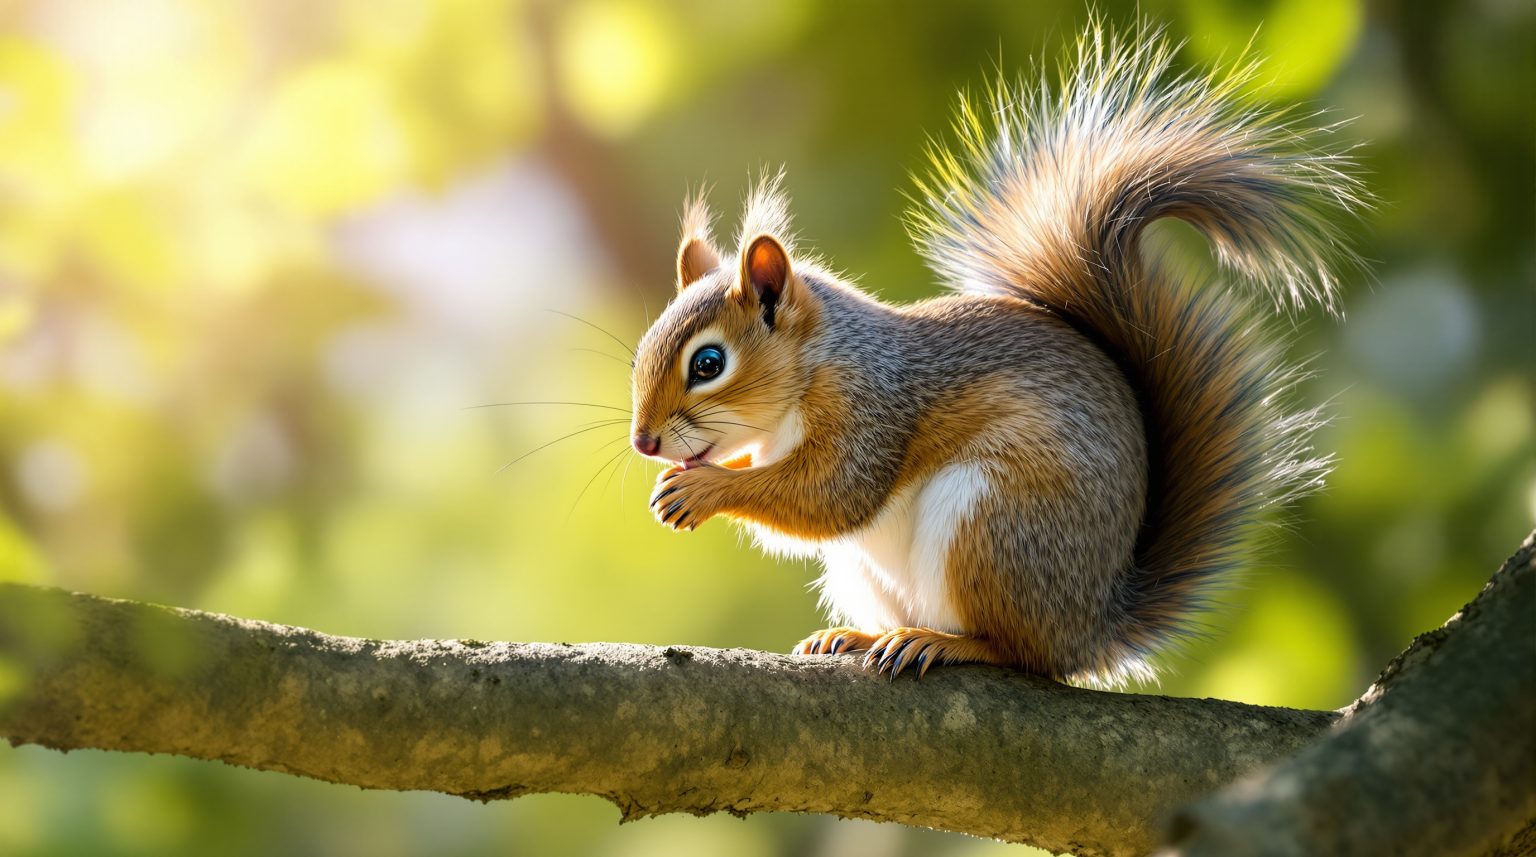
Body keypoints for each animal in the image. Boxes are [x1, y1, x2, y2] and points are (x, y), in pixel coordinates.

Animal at [627, 24, 1364, 686]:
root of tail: (1090, 625)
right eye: (640, 355)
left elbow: (830, 496)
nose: (643, 442)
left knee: (1020, 653)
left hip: (994, 522)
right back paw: (857, 635)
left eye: (708, 364)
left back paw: (942, 643)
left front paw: (705, 487)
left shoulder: (870, 407)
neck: (815, 367)